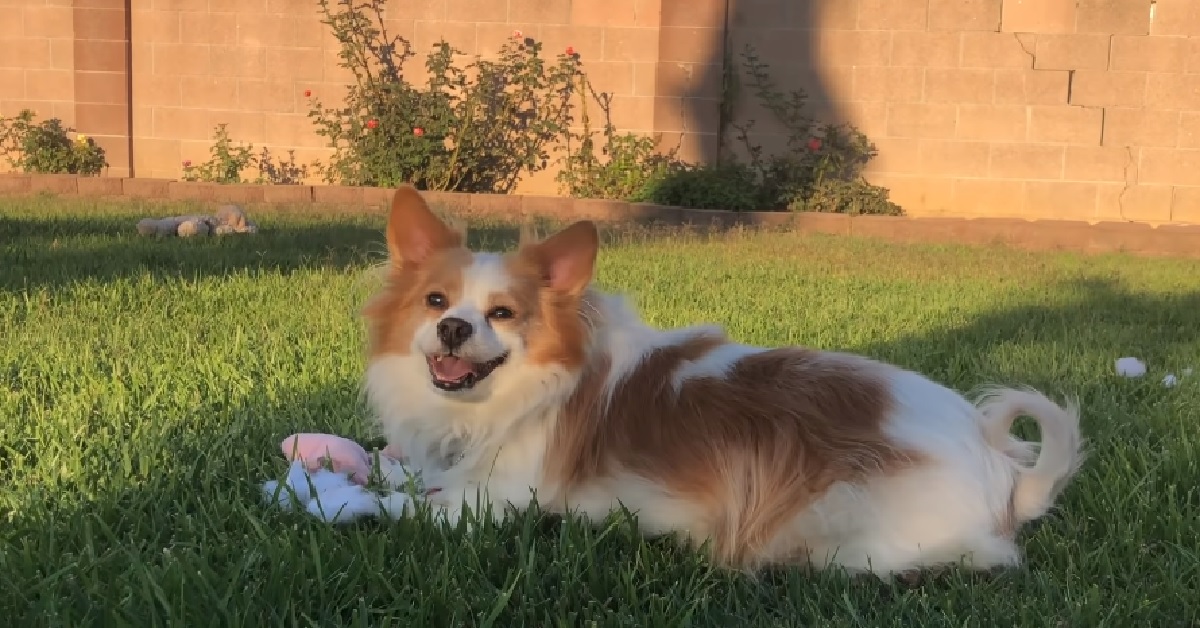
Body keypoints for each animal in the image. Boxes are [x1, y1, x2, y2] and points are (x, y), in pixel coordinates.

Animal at [360, 188, 1084, 581]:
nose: (453, 327)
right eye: (434, 301)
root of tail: (1002, 470)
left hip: (834, 530)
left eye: (503, 314)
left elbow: (392, 506)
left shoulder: (494, 502)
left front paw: (345, 500)